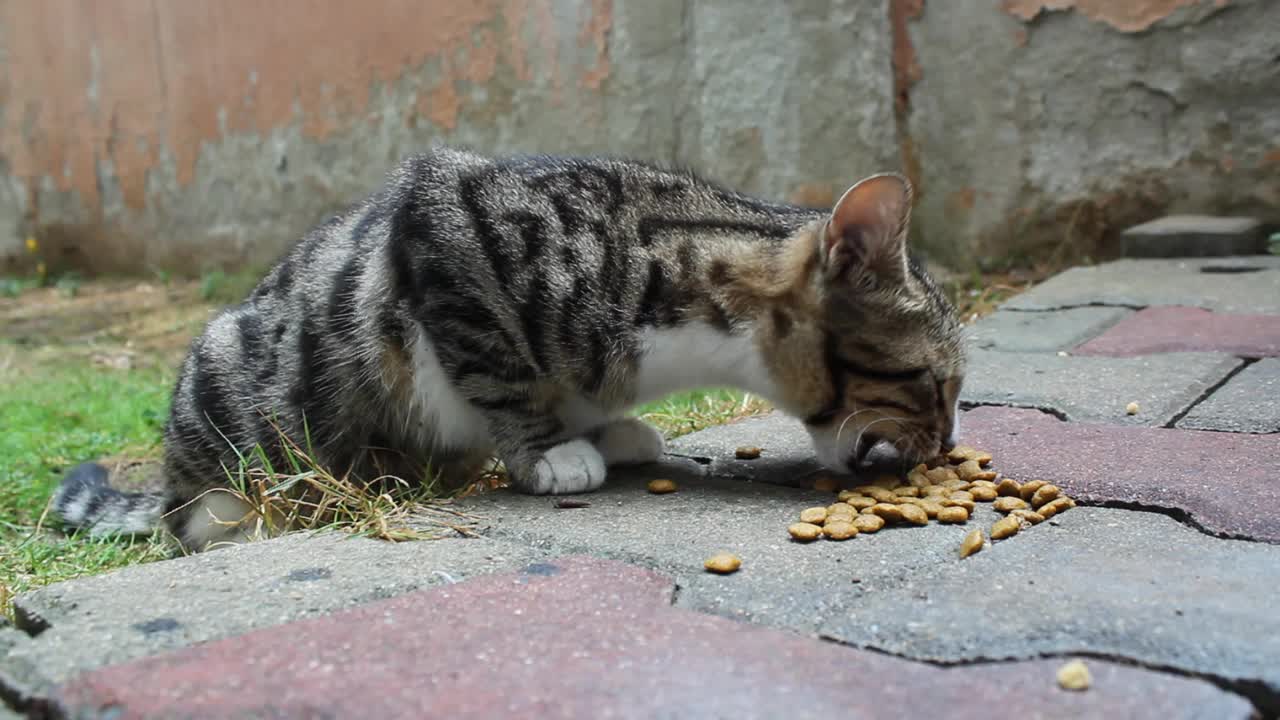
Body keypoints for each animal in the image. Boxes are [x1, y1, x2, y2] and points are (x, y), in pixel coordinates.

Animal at [55, 146, 962, 548]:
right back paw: (230, 512)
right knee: (194, 504)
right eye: (935, 383)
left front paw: (607, 428)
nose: (947, 444)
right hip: (223, 377)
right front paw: (552, 452)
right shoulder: (443, 231)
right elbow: (499, 369)